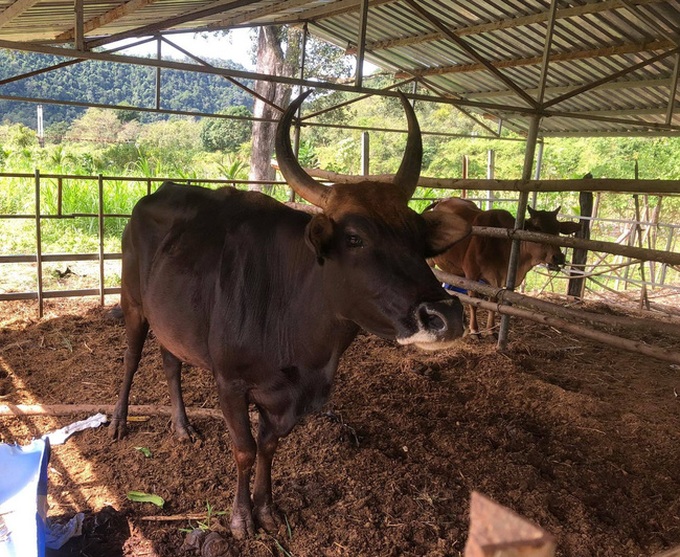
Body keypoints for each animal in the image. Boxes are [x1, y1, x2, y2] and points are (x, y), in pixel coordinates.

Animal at [110, 91, 472, 540]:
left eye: (419, 237)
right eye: (354, 238)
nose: (446, 314)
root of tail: (154, 195)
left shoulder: (286, 398)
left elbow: (268, 447)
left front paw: (266, 509)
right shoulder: (230, 384)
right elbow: (244, 449)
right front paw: (241, 518)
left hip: (171, 321)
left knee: (170, 362)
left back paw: (181, 426)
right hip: (132, 303)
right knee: (131, 358)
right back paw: (119, 421)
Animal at [428, 197, 576, 334]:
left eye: (558, 230)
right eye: (538, 228)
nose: (558, 257)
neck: (500, 244)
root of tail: (442, 200)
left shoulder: (497, 278)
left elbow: (493, 301)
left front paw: (491, 329)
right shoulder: (471, 274)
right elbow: (474, 303)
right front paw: (474, 330)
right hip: (431, 262)